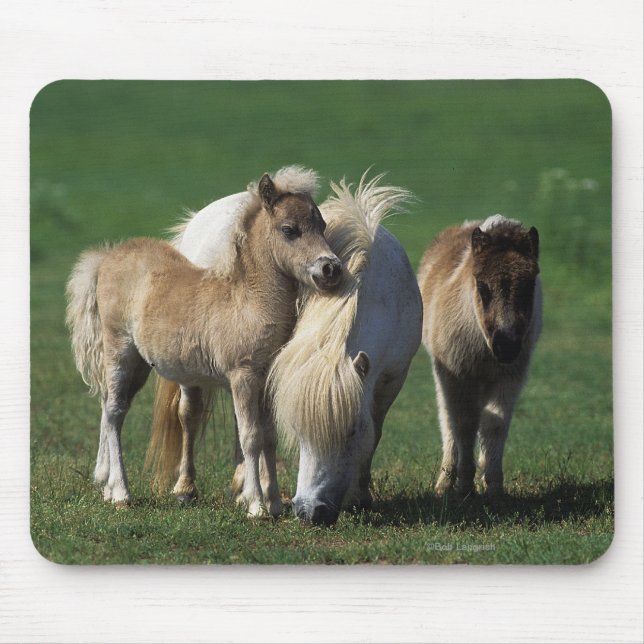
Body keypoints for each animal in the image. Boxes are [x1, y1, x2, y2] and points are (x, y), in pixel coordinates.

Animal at [65, 171, 342, 517]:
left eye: (322, 225)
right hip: (120, 351)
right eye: (289, 229)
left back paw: (105, 485)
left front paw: (276, 503)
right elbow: (250, 437)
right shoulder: (243, 376)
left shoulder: (265, 380)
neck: (248, 301)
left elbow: (269, 436)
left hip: (140, 365)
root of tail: (107, 257)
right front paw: (255, 506)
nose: (331, 268)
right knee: (115, 412)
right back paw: (120, 493)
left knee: (109, 405)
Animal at [153, 170, 423, 525]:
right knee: (189, 414)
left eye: (351, 432)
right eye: (289, 230)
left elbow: (374, 432)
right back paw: (186, 488)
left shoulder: (392, 377)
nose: (311, 511)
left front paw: (360, 495)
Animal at [417, 214, 542, 499]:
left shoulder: (510, 377)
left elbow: (494, 424)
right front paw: (464, 485)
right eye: (482, 286)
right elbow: (464, 424)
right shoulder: (458, 375)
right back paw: (445, 482)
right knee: (448, 419)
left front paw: (494, 486)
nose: (506, 346)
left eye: (529, 285)